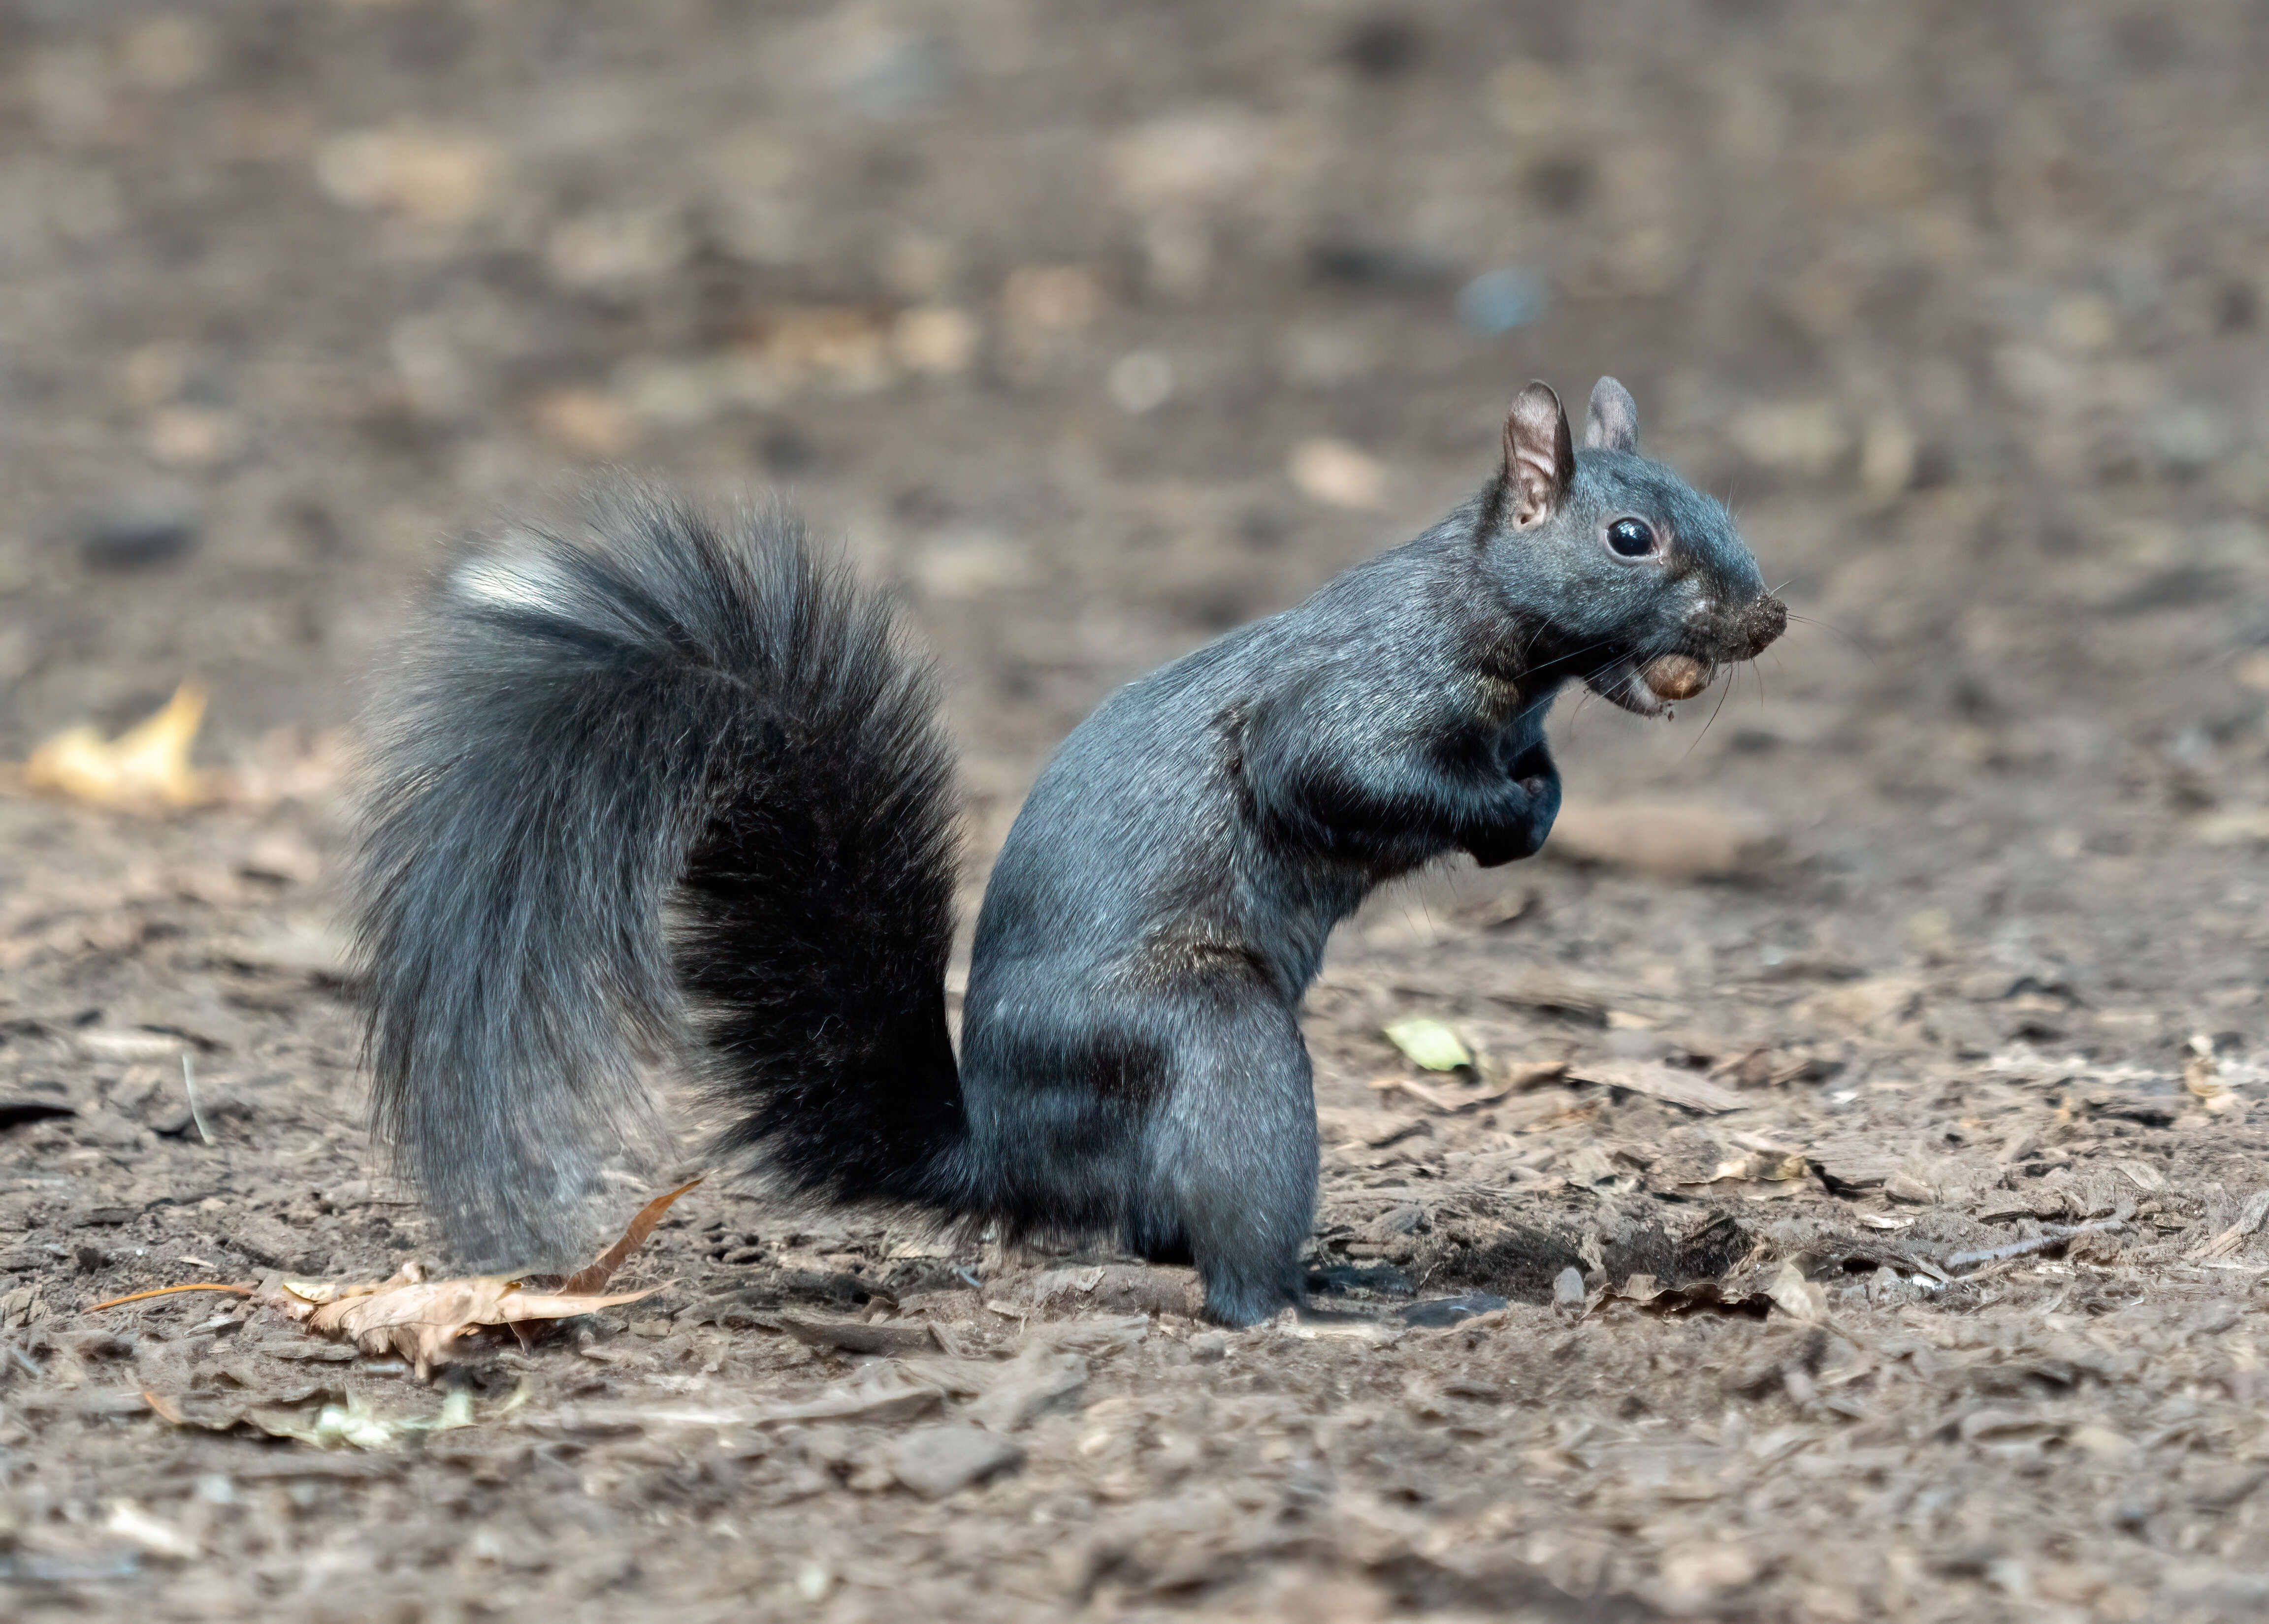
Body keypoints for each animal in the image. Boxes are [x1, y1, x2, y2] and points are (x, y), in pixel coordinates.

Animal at [358, 376, 1770, 1315]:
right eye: (1630, 538)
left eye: (1717, 500)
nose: (1768, 619)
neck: (1501, 636)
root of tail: (1003, 1152)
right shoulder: (1346, 701)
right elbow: (1336, 772)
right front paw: (1492, 816)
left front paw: (1534, 808)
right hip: (1203, 1036)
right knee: (1224, 1267)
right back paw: (1330, 1303)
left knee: (1159, 1234)